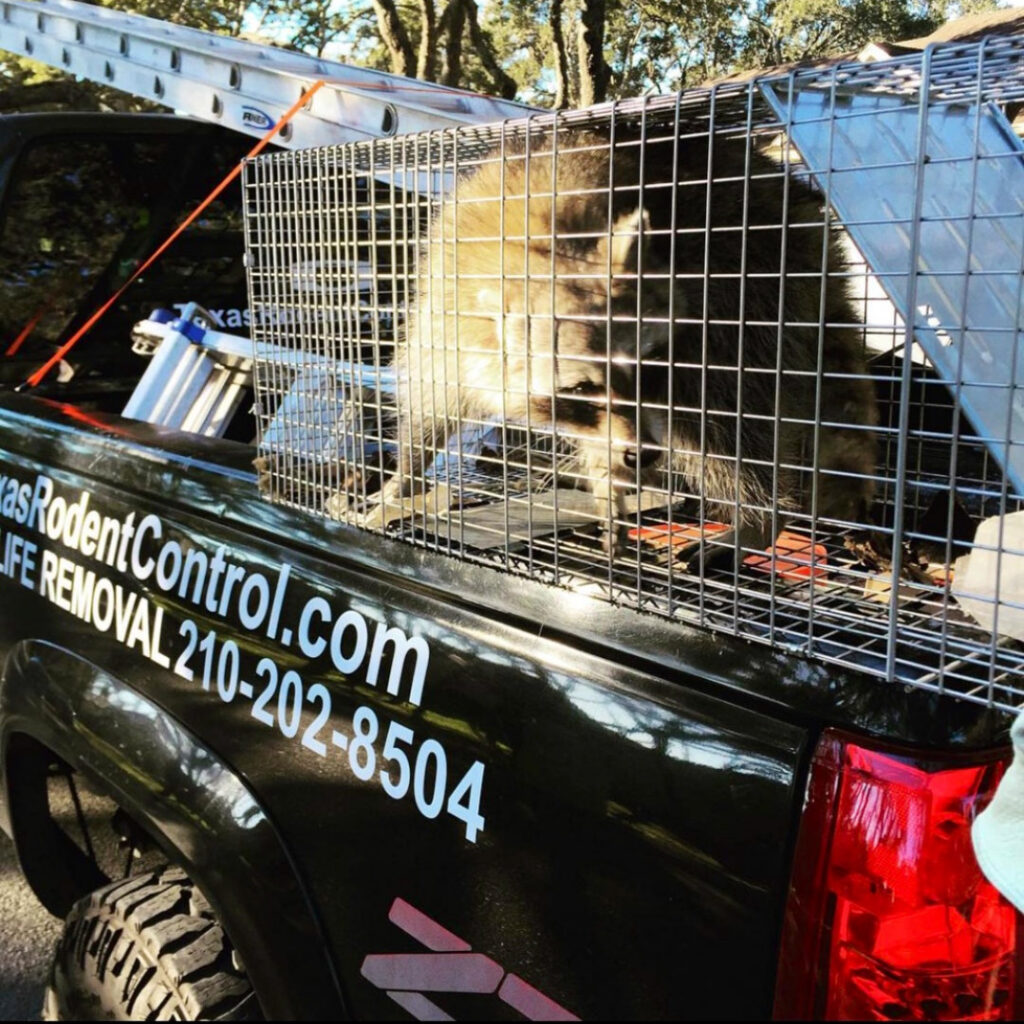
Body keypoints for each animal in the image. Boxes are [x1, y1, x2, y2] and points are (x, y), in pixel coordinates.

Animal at [368, 124, 877, 565]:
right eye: (579, 389)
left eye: (651, 366)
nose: (643, 454)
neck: (536, 246)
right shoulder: (442, 308)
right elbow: (430, 402)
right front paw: (405, 475)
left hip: (757, 287)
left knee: (726, 417)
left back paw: (761, 518)